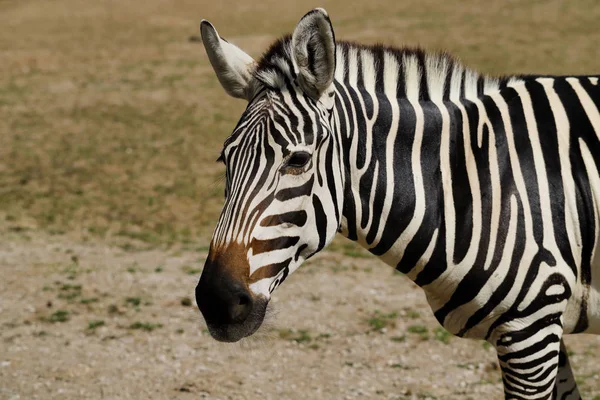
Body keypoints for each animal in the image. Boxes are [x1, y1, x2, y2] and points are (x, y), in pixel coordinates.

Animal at [196, 7, 600, 398]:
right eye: (224, 160)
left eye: (298, 160)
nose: (216, 301)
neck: (474, 180)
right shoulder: (544, 326)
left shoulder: (531, 329)